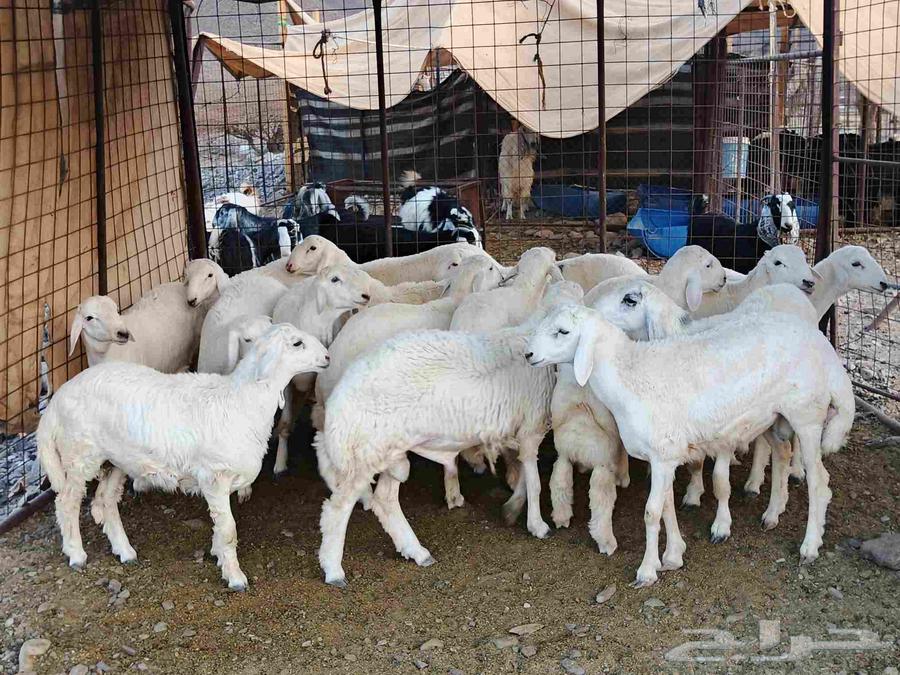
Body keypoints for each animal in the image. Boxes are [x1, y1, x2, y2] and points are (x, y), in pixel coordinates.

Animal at [38, 323, 330, 590]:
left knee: (106, 499)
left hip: (116, 459)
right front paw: (235, 577)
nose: (327, 357)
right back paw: (76, 554)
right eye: (297, 343)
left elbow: (219, 527)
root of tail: (55, 402)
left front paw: (219, 557)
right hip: (79, 453)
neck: (241, 400)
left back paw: (125, 551)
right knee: (67, 502)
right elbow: (228, 530)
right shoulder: (215, 476)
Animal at [315, 284, 580, 587]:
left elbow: (524, 475)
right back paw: (334, 569)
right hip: (365, 453)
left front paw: (513, 507)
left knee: (385, 499)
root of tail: (337, 397)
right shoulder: (531, 429)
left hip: (390, 451)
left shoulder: (518, 432)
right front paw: (537, 525)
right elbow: (535, 482)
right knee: (337, 509)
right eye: (562, 330)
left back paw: (416, 551)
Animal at [526, 304, 854, 586]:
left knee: (818, 481)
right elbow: (667, 506)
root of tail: (823, 346)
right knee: (783, 454)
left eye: (563, 331)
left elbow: (651, 512)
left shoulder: (661, 456)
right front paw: (673, 556)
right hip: (774, 417)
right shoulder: (666, 456)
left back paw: (809, 546)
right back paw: (772, 514)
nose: (527, 354)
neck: (629, 376)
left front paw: (647, 570)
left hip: (807, 416)